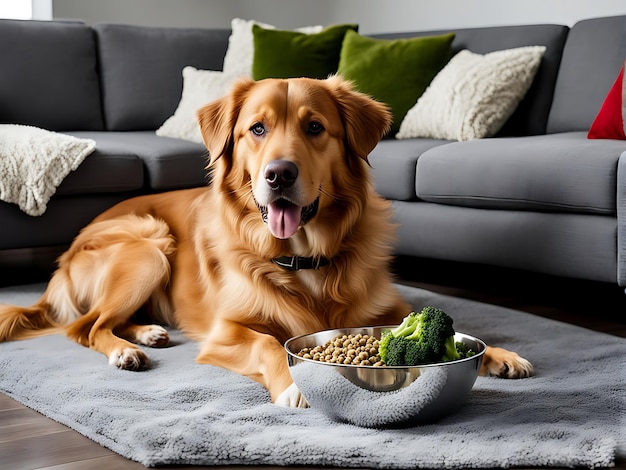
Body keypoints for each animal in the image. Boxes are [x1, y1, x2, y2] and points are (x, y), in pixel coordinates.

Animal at [0, 75, 532, 406]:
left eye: (315, 127)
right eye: (256, 128)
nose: (279, 174)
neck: (306, 259)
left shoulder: (386, 308)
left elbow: (443, 328)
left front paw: (499, 355)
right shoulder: (228, 332)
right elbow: (270, 344)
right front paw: (294, 386)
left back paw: (147, 331)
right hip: (149, 246)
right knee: (85, 327)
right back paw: (125, 349)